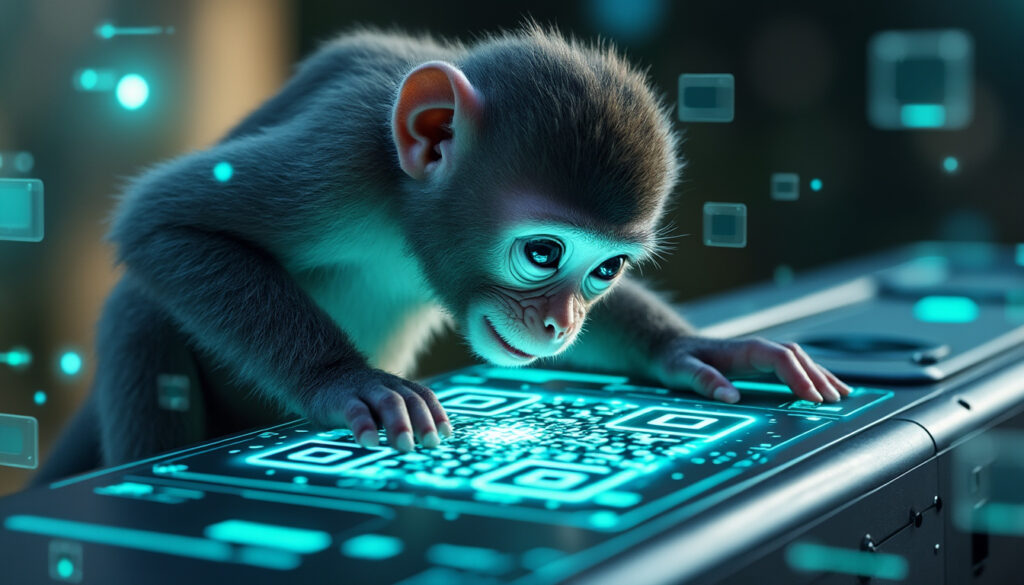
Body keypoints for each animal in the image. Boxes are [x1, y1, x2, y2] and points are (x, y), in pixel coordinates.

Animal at [32, 24, 850, 485]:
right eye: (543, 252)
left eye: (606, 270)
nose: (560, 324)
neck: (403, 210)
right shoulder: (338, 156)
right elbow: (161, 222)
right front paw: (348, 381)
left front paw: (694, 348)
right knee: (141, 313)